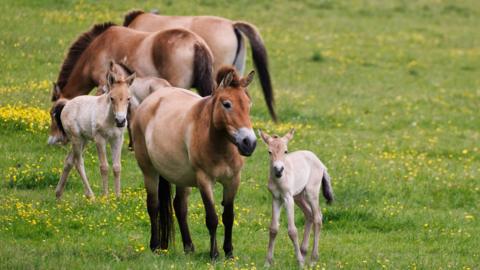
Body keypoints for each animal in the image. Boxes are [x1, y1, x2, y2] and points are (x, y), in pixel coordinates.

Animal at [53, 61, 134, 198]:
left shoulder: (118, 139)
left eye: (128, 98)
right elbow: (104, 167)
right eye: (112, 98)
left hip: (84, 140)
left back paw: (58, 194)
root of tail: (67, 104)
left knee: (69, 161)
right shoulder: (100, 140)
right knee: (78, 162)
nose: (120, 121)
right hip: (76, 139)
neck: (109, 119)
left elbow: (117, 167)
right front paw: (106, 196)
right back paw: (91, 196)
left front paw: (118, 197)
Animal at [131, 66, 258, 260]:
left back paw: (189, 247)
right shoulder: (204, 180)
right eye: (227, 104)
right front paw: (214, 254)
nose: (249, 143)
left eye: (248, 104)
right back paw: (155, 247)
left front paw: (229, 253)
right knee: (153, 205)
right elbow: (212, 218)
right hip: (149, 171)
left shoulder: (233, 180)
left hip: (180, 177)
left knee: (179, 207)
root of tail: (151, 100)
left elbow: (228, 216)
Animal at [258, 129, 334, 266]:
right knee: (309, 215)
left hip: (311, 193)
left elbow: (292, 231)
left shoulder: (288, 198)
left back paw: (313, 259)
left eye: (286, 151)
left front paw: (300, 263)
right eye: (269, 152)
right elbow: (273, 229)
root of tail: (320, 162)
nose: (278, 170)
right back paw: (303, 252)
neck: (279, 180)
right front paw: (267, 262)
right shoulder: (276, 199)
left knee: (317, 218)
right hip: (299, 196)